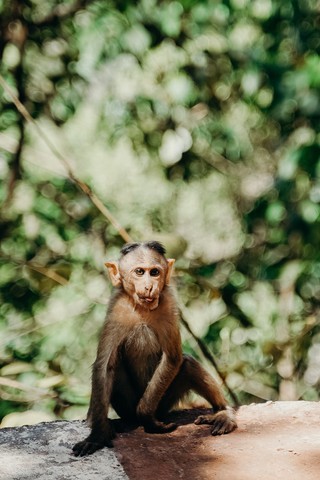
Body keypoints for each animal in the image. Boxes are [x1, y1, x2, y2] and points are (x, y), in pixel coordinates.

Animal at [73, 242, 238, 456]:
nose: (149, 286)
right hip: (127, 407)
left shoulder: (168, 304)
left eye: (155, 272)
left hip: (163, 403)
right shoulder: (116, 310)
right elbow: (104, 366)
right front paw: (97, 435)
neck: (142, 308)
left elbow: (173, 357)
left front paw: (147, 419)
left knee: (188, 364)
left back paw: (222, 411)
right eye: (139, 272)